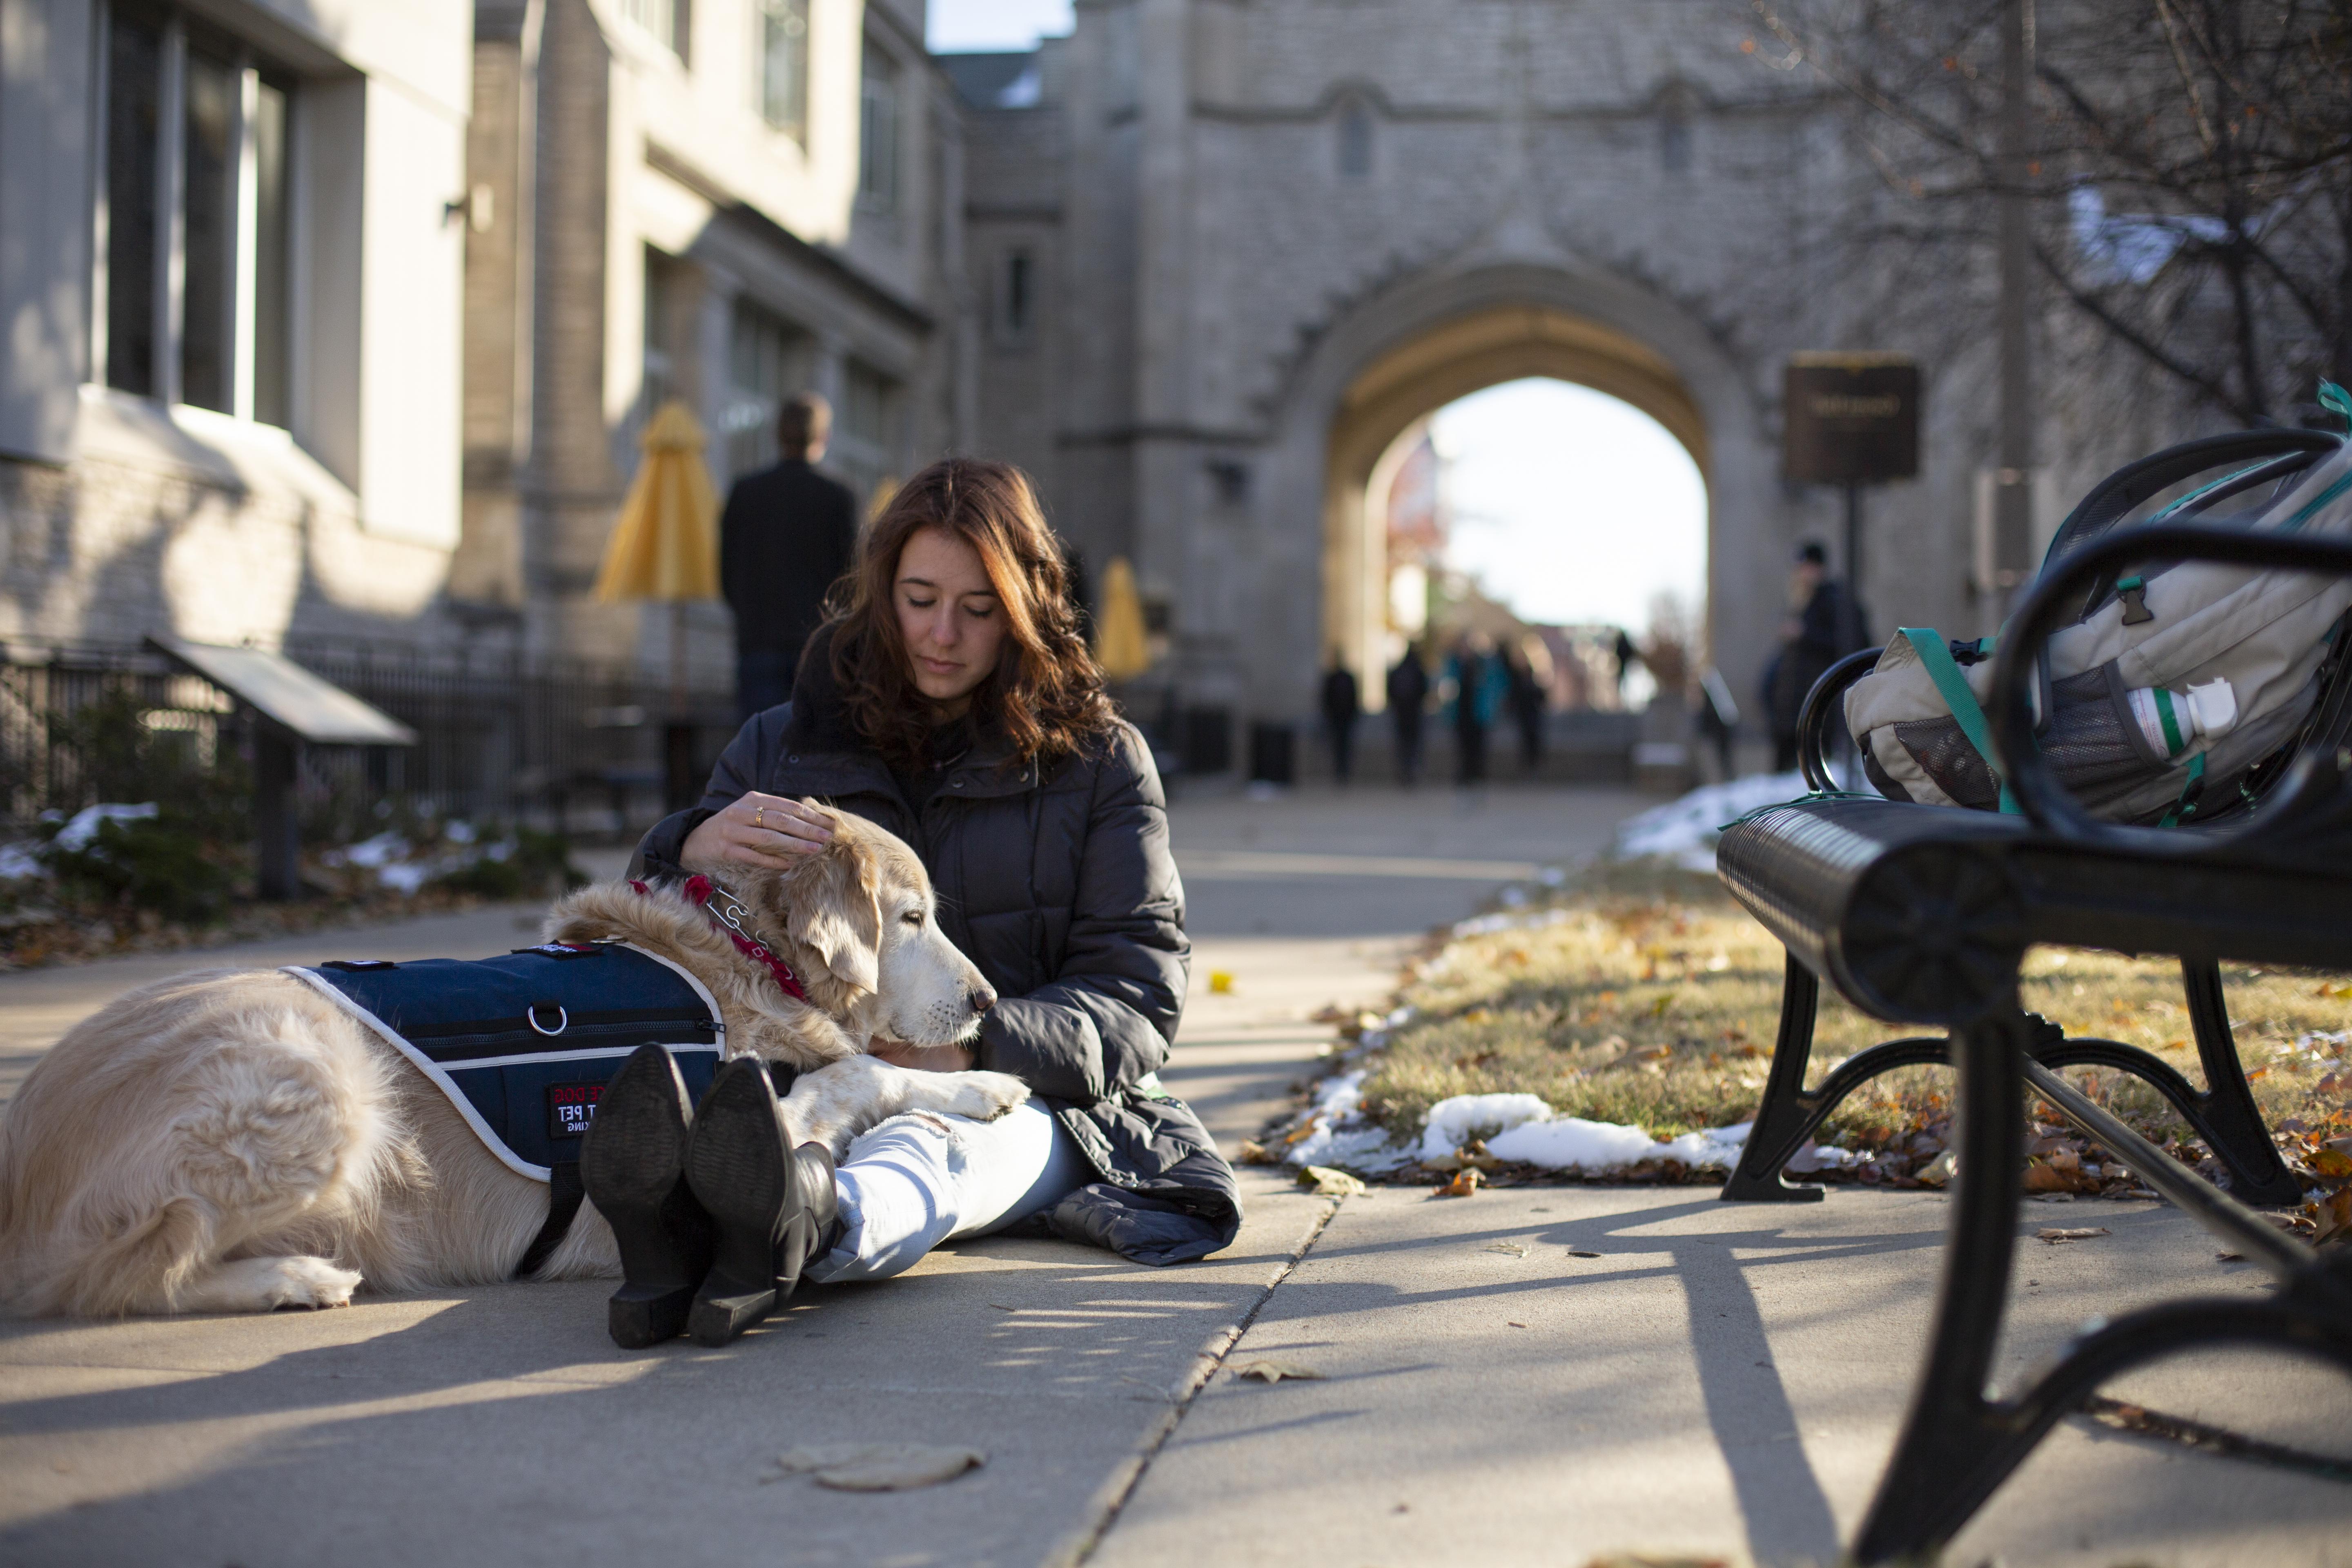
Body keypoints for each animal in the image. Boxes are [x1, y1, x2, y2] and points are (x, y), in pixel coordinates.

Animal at [0, 818, 1020, 1316]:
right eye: (913, 918)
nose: (988, 1002)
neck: (740, 951)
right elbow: (862, 1072)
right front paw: (987, 1085)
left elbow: (866, 1067)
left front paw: (981, 1082)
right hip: (323, 1082)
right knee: (117, 1273)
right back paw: (291, 1280)